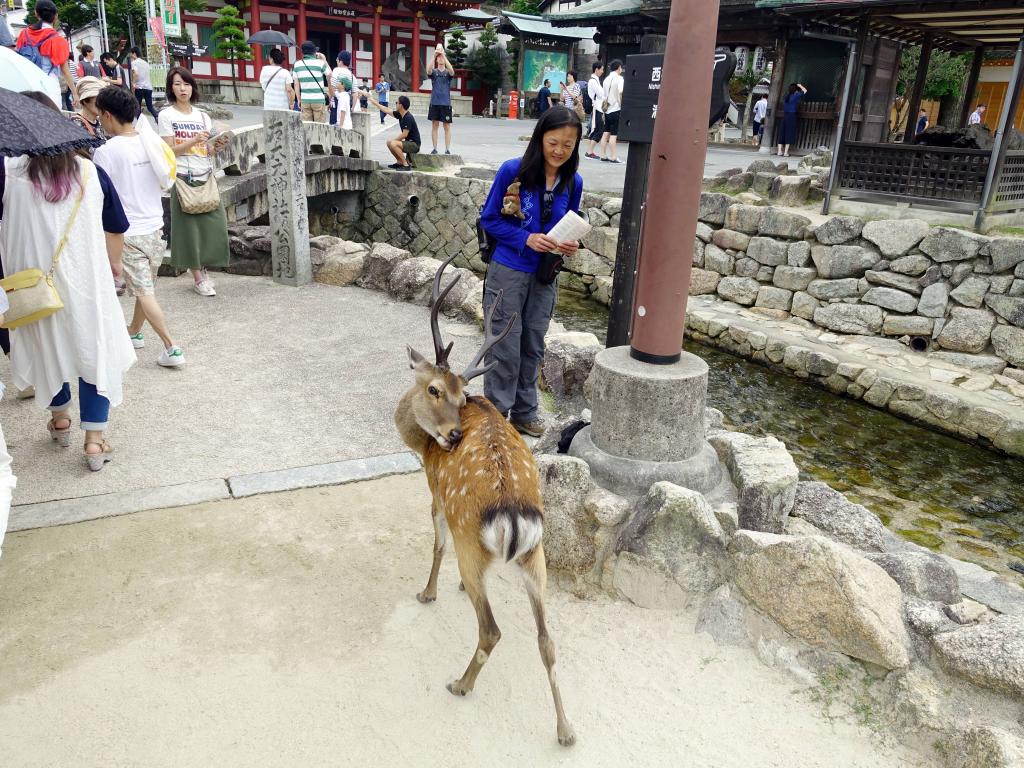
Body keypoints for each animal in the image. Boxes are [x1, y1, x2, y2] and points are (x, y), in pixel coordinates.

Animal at [395, 257, 577, 745]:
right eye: (438, 390)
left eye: (453, 394)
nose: (453, 436)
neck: (421, 446)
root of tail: (514, 516)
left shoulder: (436, 494)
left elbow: (436, 544)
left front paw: (428, 592)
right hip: (537, 556)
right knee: (547, 639)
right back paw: (566, 730)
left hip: (471, 542)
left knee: (491, 630)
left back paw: (460, 684)